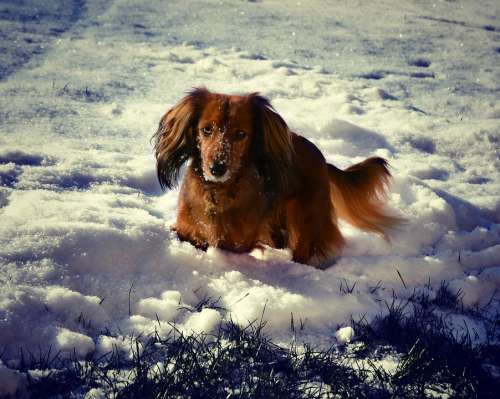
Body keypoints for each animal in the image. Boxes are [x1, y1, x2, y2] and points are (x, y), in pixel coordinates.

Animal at [152, 88, 398, 268]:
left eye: (241, 134)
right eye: (206, 129)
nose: (217, 168)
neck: (217, 194)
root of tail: (321, 158)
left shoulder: (236, 243)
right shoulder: (187, 231)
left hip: (304, 221)